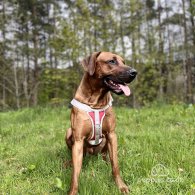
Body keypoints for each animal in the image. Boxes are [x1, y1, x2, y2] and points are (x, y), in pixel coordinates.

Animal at [65, 51, 137, 194]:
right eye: (112, 61)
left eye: (123, 62)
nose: (134, 72)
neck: (96, 102)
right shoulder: (78, 140)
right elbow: (75, 174)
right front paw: (73, 191)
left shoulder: (112, 135)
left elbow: (116, 165)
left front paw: (121, 186)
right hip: (69, 132)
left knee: (105, 155)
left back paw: (105, 161)